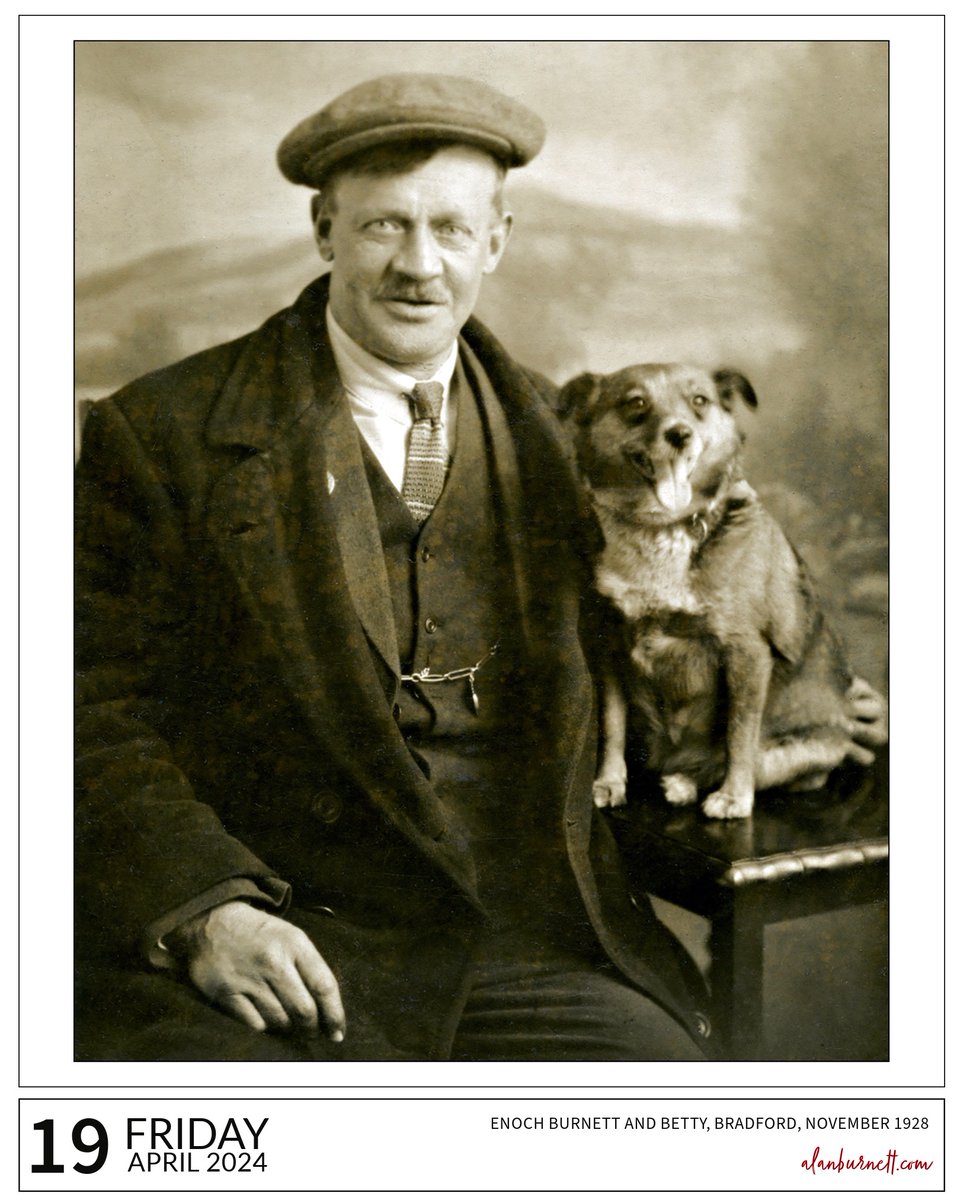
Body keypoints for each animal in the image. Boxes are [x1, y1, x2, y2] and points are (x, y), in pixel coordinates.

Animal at [559, 360, 888, 820]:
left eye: (700, 400)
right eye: (635, 403)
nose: (680, 434)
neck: (663, 530)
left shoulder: (746, 653)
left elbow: (739, 734)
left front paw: (734, 796)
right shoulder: (608, 647)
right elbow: (612, 725)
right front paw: (609, 782)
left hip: (808, 750)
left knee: (770, 767)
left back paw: (686, 783)